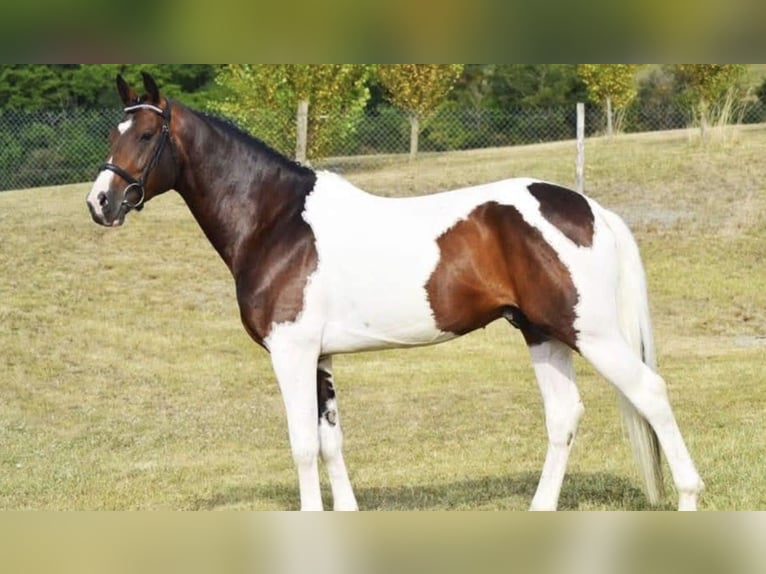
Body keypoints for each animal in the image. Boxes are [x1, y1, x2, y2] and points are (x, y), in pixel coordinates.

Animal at [86, 72, 703, 511]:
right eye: (113, 133)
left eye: (147, 135)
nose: (100, 203)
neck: (276, 220)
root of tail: (589, 208)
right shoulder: (321, 358)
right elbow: (330, 441)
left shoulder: (291, 353)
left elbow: (302, 445)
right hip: (541, 332)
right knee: (563, 416)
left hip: (589, 333)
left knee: (650, 392)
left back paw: (689, 499)